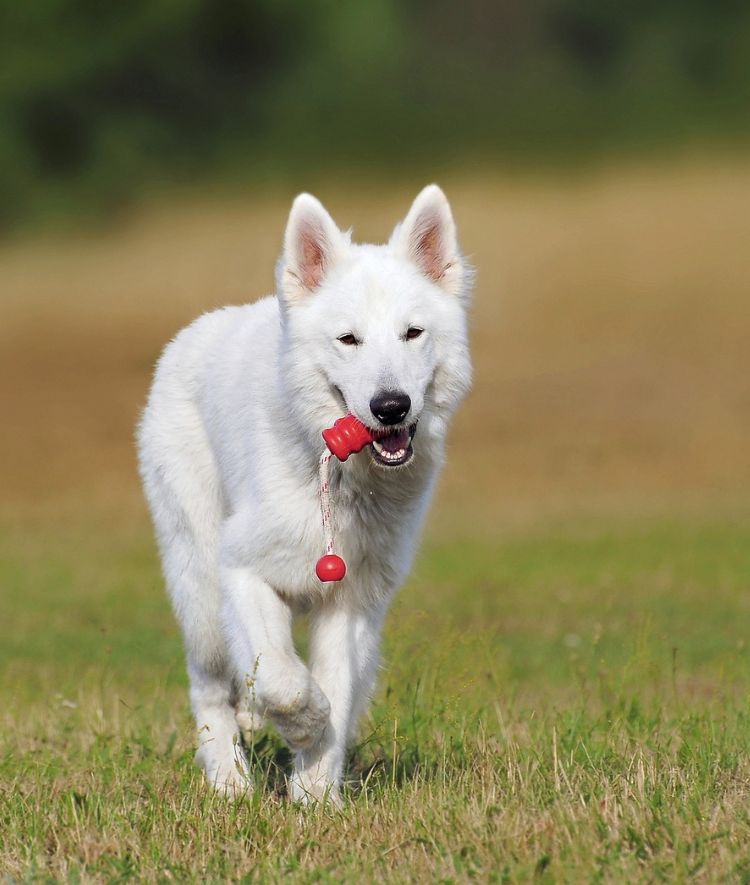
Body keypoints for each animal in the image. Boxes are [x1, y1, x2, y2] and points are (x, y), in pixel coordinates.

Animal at [138, 185, 472, 800]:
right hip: (199, 586)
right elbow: (283, 679)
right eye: (348, 339)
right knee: (209, 685)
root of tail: (193, 332)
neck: (340, 479)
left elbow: (335, 687)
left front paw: (315, 793)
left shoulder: (352, 602)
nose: (392, 407)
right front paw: (302, 726)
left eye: (412, 334)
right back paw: (229, 782)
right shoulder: (241, 571)